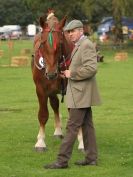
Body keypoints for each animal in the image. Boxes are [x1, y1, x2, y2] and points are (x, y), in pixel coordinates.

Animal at [31, 11, 83, 152]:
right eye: (43, 43)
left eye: (59, 44)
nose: (51, 73)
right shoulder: (41, 89)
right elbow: (43, 114)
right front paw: (40, 142)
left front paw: (81, 141)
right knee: (54, 105)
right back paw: (57, 131)